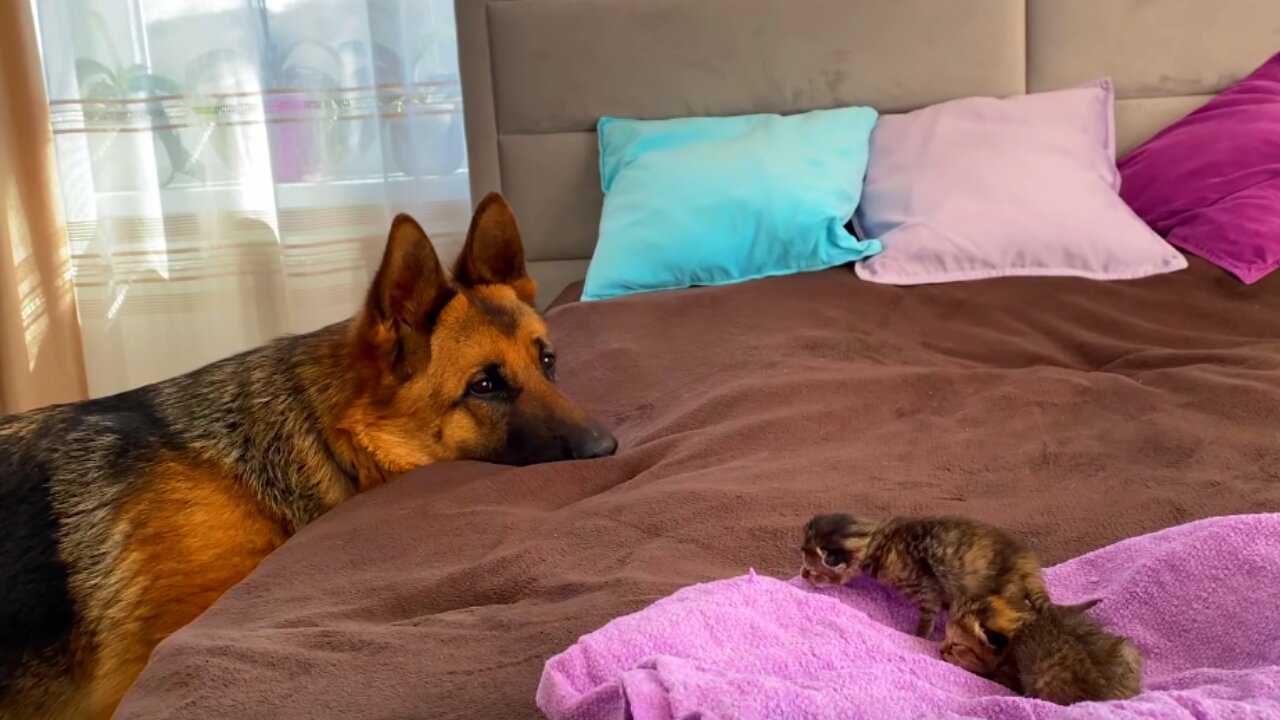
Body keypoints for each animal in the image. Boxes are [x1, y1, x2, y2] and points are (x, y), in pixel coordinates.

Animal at [798, 512, 1049, 635]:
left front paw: (920, 636)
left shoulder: (924, 587)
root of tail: (1026, 562)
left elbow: (927, 615)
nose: (802, 575)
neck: (875, 539)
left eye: (811, 571)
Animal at [942, 594, 1141, 702]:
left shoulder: (1008, 674)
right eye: (945, 636)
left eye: (956, 645)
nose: (940, 650)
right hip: (1128, 650)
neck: (1023, 621)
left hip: (1044, 678)